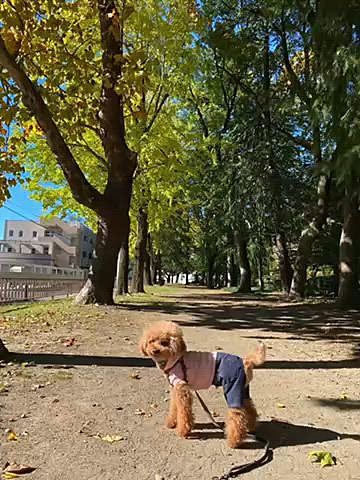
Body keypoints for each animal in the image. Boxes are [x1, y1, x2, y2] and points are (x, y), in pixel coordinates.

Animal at [139, 320, 266, 448]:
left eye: (164, 342)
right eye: (151, 341)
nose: (155, 350)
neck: (175, 359)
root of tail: (245, 361)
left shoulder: (183, 390)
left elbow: (184, 413)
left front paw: (183, 431)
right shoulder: (175, 389)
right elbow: (174, 407)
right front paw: (171, 423)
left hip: (233, 388)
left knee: (237, 416)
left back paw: (234, 441)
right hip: (243, 389)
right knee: (250, 408)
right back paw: (251, 427)